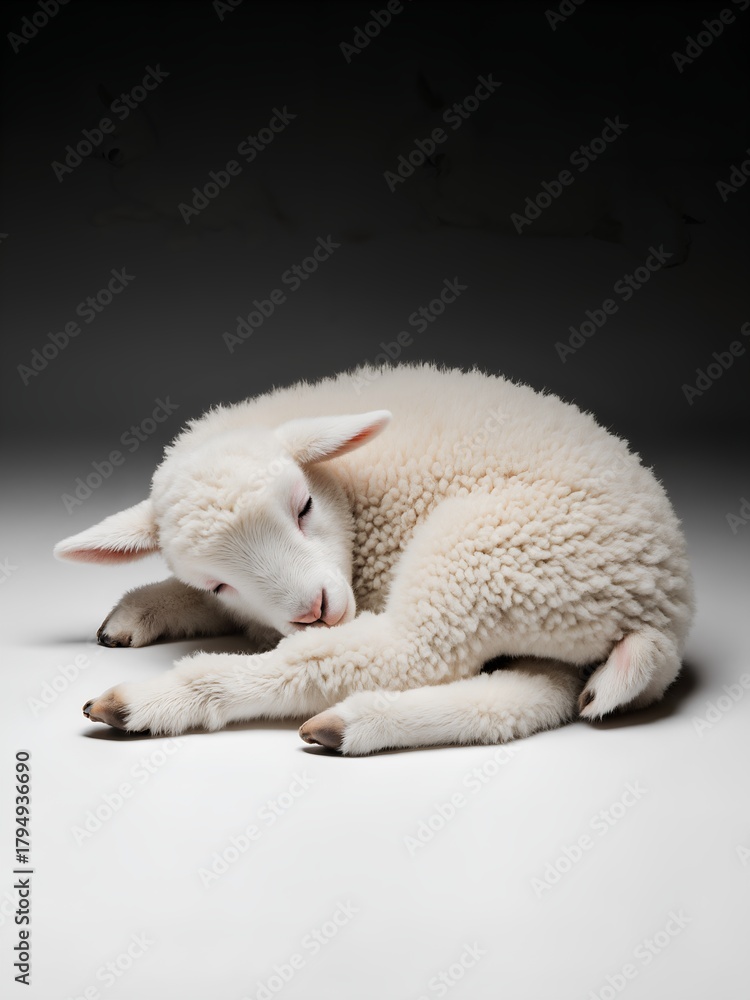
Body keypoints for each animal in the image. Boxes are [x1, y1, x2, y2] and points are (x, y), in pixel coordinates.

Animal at [54, 364, 694, 754]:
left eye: (304, 506)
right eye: (217, 582)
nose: (313, 610)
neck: (356, 505)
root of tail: (665, 613)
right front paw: (137, 612)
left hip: (487, 553)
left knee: (398, 653)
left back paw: (157, 699)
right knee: (527, 697)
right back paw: (354, 725)